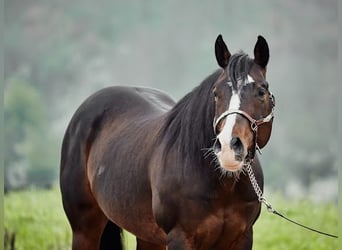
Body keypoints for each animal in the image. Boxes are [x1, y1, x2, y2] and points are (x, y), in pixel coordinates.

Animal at [60, 33, 276, 250]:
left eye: (261, 92)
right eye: (216, 93)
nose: (228, 148)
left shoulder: (242, 238)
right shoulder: (180, 237)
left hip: (147, 235)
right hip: (84, 230)